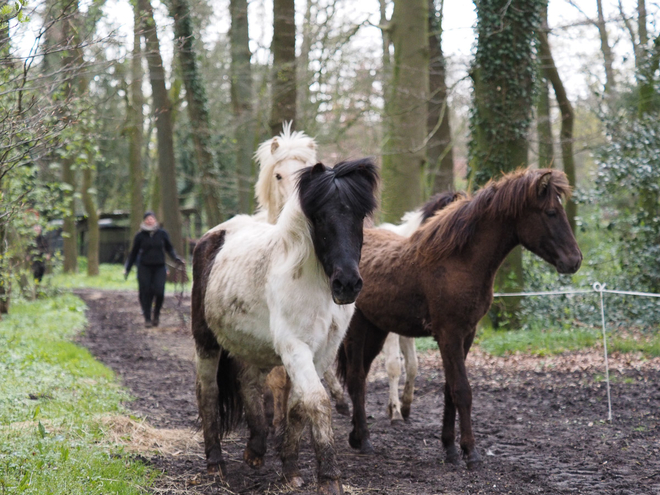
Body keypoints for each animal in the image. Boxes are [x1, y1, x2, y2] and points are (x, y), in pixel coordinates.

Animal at [192, 156, 376, 495]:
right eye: (321, 217)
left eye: (359, 216)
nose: (347, 284)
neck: (314, 285)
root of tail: (215, 235)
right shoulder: (295, 348)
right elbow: (317, 401)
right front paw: (329, 478)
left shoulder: (322, 353)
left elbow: (297, 407)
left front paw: (290, 469)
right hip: (206, 342)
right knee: (208, 391)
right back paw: (216, 464)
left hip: (253, 346)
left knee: (248, 383)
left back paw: (256, 450)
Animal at [338, 170, 580, 468]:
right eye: (550, 212)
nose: (575, 261)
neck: (459, 261)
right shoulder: (449, 334)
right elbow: (463, 391)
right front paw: (471, 452)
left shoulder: (467, 334)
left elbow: (449, 390)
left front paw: (451, 448)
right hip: (357, 330)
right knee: (356, 378)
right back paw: (365, 440)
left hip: (376, 330)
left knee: (358, 376)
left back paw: (355, 436)